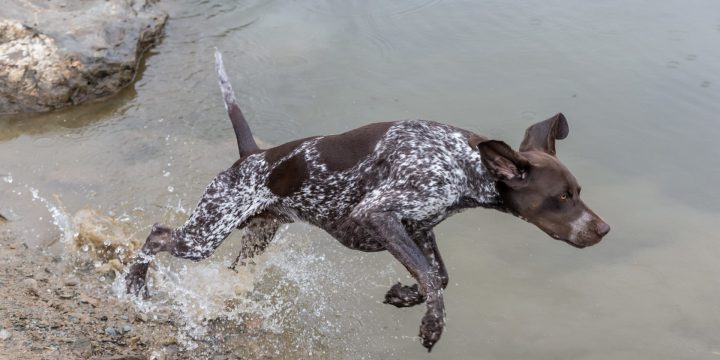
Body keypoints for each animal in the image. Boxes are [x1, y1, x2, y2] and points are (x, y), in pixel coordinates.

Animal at [126, 49, 612, 350]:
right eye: (562, 197)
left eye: (578, 193)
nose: (604, 229)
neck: (461, 163)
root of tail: (253, 155)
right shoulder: (378, 214)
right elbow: (433, 281)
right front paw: (432, 324)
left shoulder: (416, 228)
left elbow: (438, 277)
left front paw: (403, 295)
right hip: (205, 234)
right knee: (157, 235)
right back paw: (134, 288)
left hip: (254, 238)